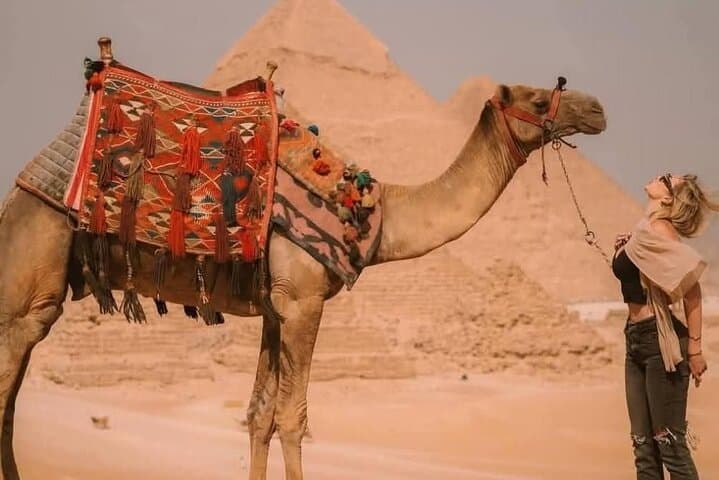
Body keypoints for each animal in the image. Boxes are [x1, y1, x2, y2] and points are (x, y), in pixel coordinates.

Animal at [0, 70, 606, 479]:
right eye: (536, 97)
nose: (598, 108)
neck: (376, 212)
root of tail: (21, 192)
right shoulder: (304, 300)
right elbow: (294, 418)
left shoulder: (276, 308)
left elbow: (259, 416)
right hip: (33, 277)